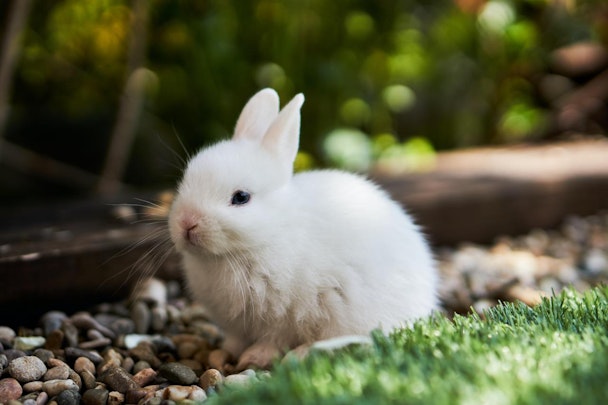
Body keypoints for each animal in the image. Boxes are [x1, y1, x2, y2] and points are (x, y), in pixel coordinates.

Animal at [169, 89, 440, 370]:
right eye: (186, 181)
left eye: (241, 197)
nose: (187, 223)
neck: (269, 235)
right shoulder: (237, 326)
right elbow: (235, 340)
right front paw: (224, 352)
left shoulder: (284, 315)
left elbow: (273, 339)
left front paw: (254, 357)